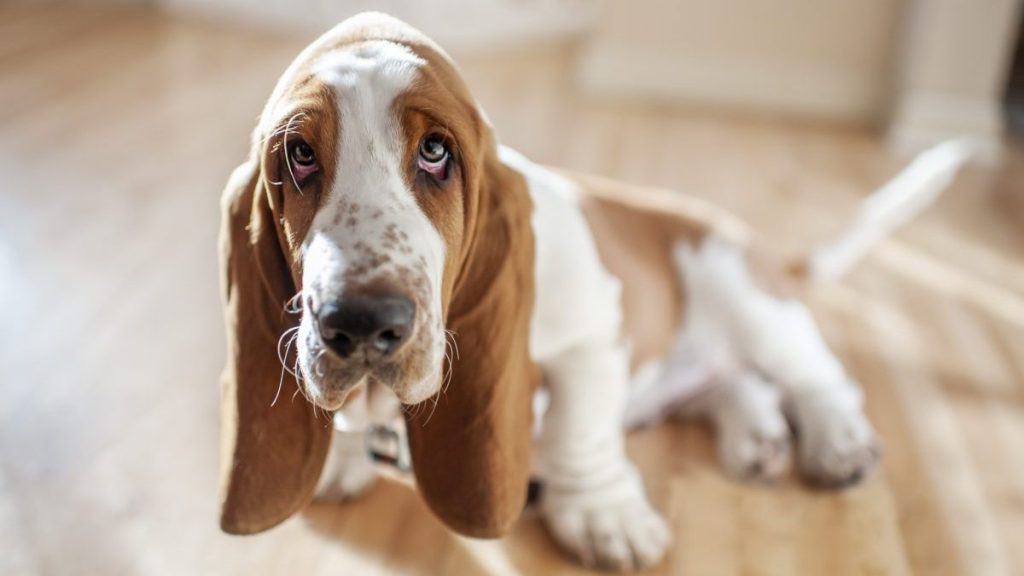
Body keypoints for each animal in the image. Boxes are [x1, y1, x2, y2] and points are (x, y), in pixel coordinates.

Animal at [218, 11, 974, 565]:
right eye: (299, 155)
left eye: (435, 152)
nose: (361, 322)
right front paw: (341, 456)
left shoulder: (593, 332)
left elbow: (581, 424)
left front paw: (603, 514)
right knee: (732, 385)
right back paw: (754, 438)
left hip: (746, 297)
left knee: (818, 380)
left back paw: (836, 444)